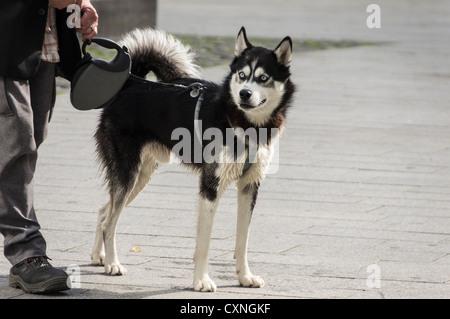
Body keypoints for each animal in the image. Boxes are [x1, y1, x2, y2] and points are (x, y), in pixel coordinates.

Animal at [90, 27, 296, 292]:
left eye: (263, 78)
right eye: (242, 75)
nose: (244, 93)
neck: (243, 124)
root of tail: (129, 84)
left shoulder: (249, 186)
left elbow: (243, 241)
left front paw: (244, 277)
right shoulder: (210, 187)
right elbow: (204, 244)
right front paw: (201, 281)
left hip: (138, 179)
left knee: (103, 212)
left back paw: (99, 257)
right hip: (128, 175)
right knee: (110, 222)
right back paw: (113, 264)